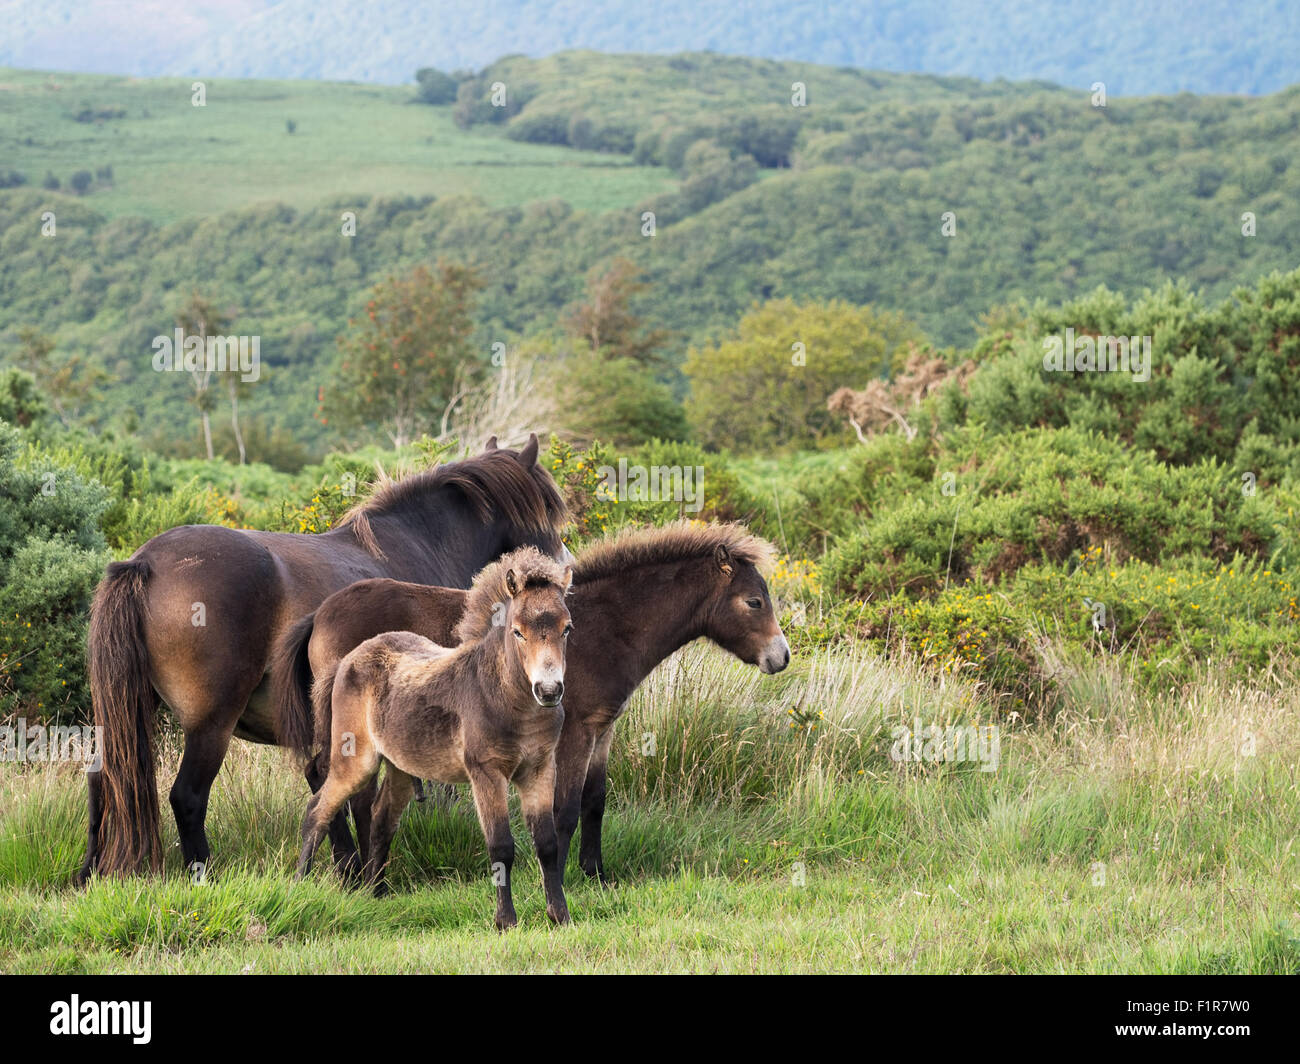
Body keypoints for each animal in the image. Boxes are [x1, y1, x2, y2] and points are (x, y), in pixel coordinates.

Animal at [78, 431, 566, 879]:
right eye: (549, 515)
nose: (564, 571)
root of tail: (145, 562)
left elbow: (331, 792)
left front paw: (346, 867)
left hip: (125, 713)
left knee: (103, 779)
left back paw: (90, 873)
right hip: (210, 723)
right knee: (187, 797)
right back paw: (203, 874)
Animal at [278, 517, 785, 884]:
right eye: (754, 602)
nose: (781, 657)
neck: (602, 630)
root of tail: (319, 614)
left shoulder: (602, 730)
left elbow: (595, 801)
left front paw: (597, 874)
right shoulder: (574, 733)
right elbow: (565, 810)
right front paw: (562, 877)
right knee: (338, 787)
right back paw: (353, 873)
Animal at [301, 543, 577, 926]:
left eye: (566, 628)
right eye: (518, 631)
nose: (549, 690)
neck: (512, 704)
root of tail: (347, 660)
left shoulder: (540, 768)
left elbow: (548, 843)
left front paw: (559, 916)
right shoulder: (486, 773)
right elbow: (501, 846)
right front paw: (505, 921)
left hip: (401, 766)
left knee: (381, 819)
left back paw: (375, 894)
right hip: (355, 762)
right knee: (318, 809)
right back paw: (298, 884)